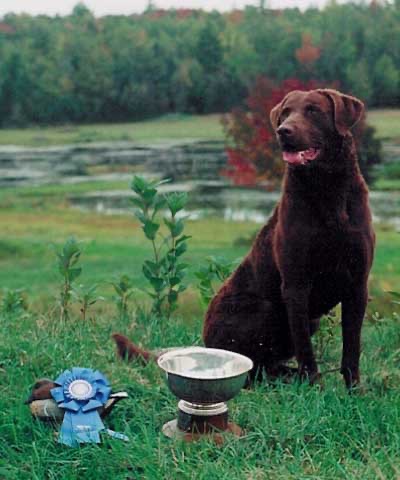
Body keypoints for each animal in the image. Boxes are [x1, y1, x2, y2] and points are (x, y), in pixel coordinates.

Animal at [113, 89, 376, 390]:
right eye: (285, 113)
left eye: (313, 110)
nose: (283, 131)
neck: (328, 193)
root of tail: (205, 346)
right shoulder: (296, 285)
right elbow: (306, 350)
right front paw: (315, 387)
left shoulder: (357, 283)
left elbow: (351, 347)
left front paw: (355, 390)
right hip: (265, 309)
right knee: (251, 367)